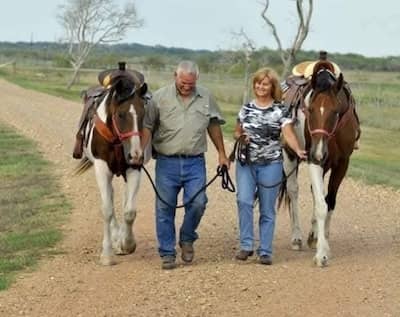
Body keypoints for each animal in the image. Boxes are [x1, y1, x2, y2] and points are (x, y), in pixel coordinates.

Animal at [76, 69, 149, 264]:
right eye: (121, 115)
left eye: (143, 114)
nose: (136, 154)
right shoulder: (102, 169)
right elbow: (107, 210)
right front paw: (107, 254)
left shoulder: (134, 169)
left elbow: (129, 211)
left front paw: (127, 244)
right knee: (110, 198)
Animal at [282, 60, 360, 266]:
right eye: (309, 110)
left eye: (336, 111)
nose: (318, 152)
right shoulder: (313, 162)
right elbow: (320, 205)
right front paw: (322, 254)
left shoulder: (342, 163)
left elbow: (329, 201)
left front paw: (320, 238)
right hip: (289, 155)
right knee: (293, 191)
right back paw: (297, 238)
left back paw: (313, 235)